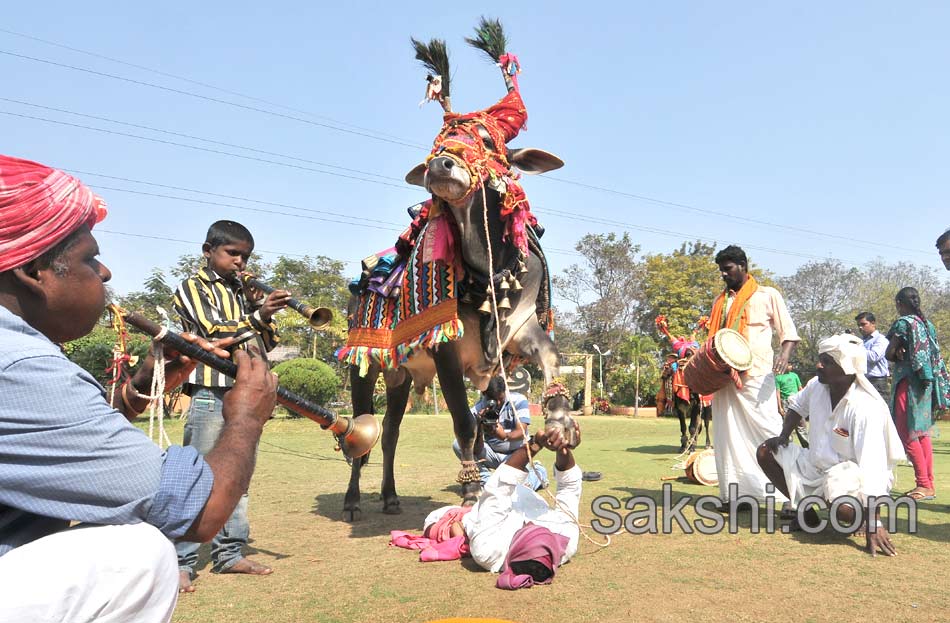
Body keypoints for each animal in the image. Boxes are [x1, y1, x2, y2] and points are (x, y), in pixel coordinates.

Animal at [338, 19, 564, 520]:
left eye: (486, 140)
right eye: (439, 144)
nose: (441, 166)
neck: (489, 273)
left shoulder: (521, 335)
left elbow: (551, 363)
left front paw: (562, 424)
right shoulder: (445, 352)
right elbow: (464, 424)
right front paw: (470, 493)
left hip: (401, 378)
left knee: (390, 431)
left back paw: (389, 496)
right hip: (366, 369)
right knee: (362, 429)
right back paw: (352, 499)